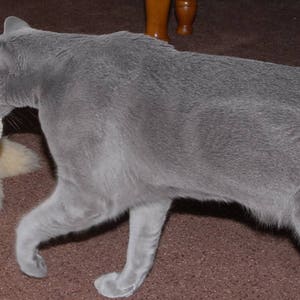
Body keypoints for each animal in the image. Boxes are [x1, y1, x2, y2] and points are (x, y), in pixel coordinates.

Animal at [0, 15, 300, 298]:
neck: (52, 74)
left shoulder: (89, 197)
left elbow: (27, 225)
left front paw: (33, 265)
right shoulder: (151, 194)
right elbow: (141, 248)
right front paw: (122, 286)